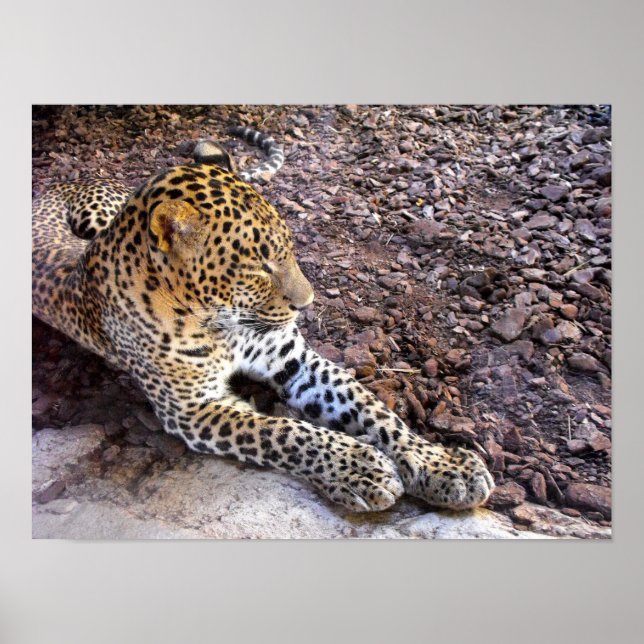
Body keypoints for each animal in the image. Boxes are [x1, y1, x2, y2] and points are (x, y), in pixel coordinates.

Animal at [32, 125, 494, 513]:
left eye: (289, 248)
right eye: (258, 267)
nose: (307, 304)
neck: (222, 322)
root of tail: (65, 181)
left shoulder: (292, 358)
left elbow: (374, 409)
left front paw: (441, 463)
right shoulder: (193, 408)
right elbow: (283, 432)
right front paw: (361, 467)